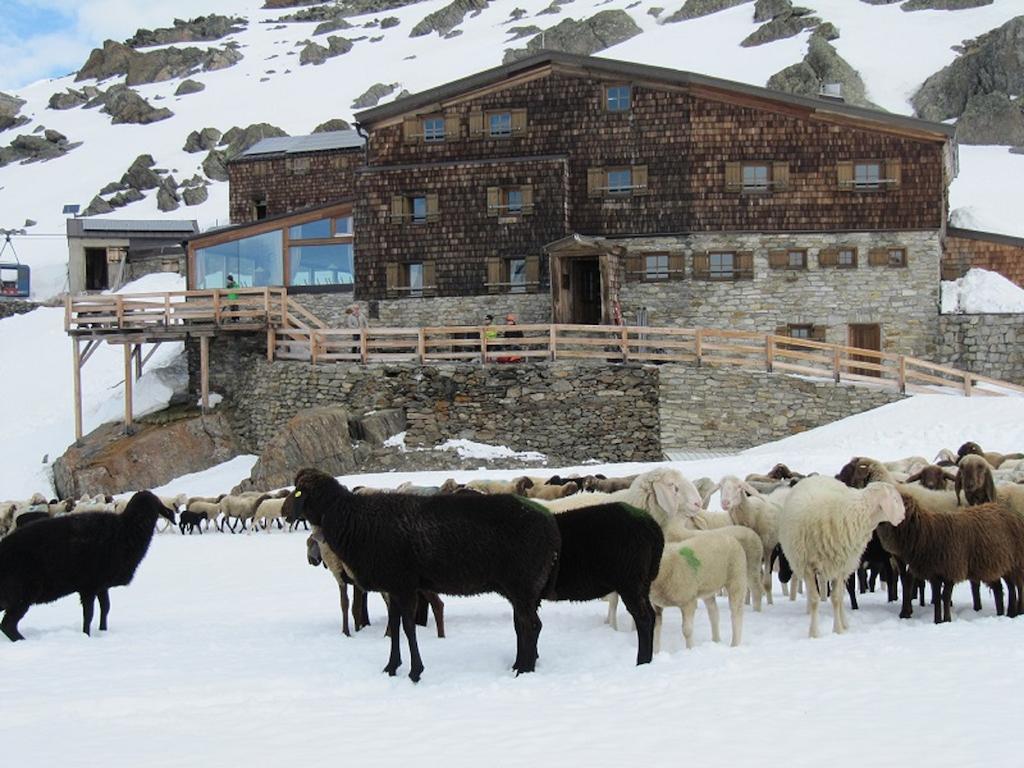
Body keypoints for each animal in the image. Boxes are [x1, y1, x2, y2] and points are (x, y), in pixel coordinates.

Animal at [0, 489, 175, 638]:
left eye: (154, 508)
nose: (143, 523)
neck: (126, 531)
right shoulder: (88, 586)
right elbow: (89, 614)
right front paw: (86, 635)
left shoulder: (102, 586)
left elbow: (105, 608)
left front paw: (103, 631)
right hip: (22, 594)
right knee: (7, 625)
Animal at [288, 468, 561, 684]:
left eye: (300, 492)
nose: (286, 513)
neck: (355, 520)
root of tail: (550, 526)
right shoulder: (393, 587)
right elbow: (395, 626)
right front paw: (391, 668)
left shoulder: (404, 585)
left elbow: (409, 627)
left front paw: (415, 672)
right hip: (522, 588)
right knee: (526, 625)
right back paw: (520, 664)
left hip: (523, 583)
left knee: (529, 625)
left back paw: (524, 670)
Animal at [544, 505, 663, 667]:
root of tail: (653, 527)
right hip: (643, 583)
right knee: (652, 615)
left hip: (630, 581)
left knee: (644, 619)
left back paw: (641, 663)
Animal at [774, 479, 905, 638]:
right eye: (895, 499)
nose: (903, 516)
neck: (855, 512)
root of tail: (817, 477)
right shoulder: (808, 567)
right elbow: (814, 600)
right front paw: (814, 633)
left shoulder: (839, 566)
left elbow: (836, 599)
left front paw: (838, 630)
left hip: (844, 566)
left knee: (841, 597)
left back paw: (844, 623)